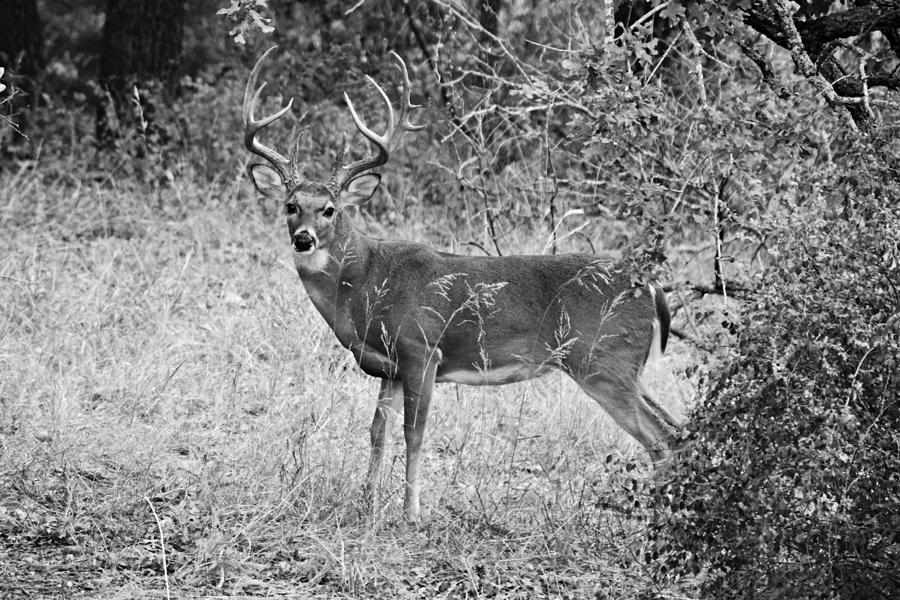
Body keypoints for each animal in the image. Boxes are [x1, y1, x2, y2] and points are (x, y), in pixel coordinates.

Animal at [241, 49, 684, 524]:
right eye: (291, 205)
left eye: (329, 209)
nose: (303, 238)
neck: (366, 284)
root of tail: (652, 287)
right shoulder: (390, 367)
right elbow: (377, 431)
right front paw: (366, 501)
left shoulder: (422, 349)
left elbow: (414, 434)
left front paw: (411, 514)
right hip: (628, 367)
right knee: (678, 430)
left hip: (602, 360)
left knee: (661, 440)